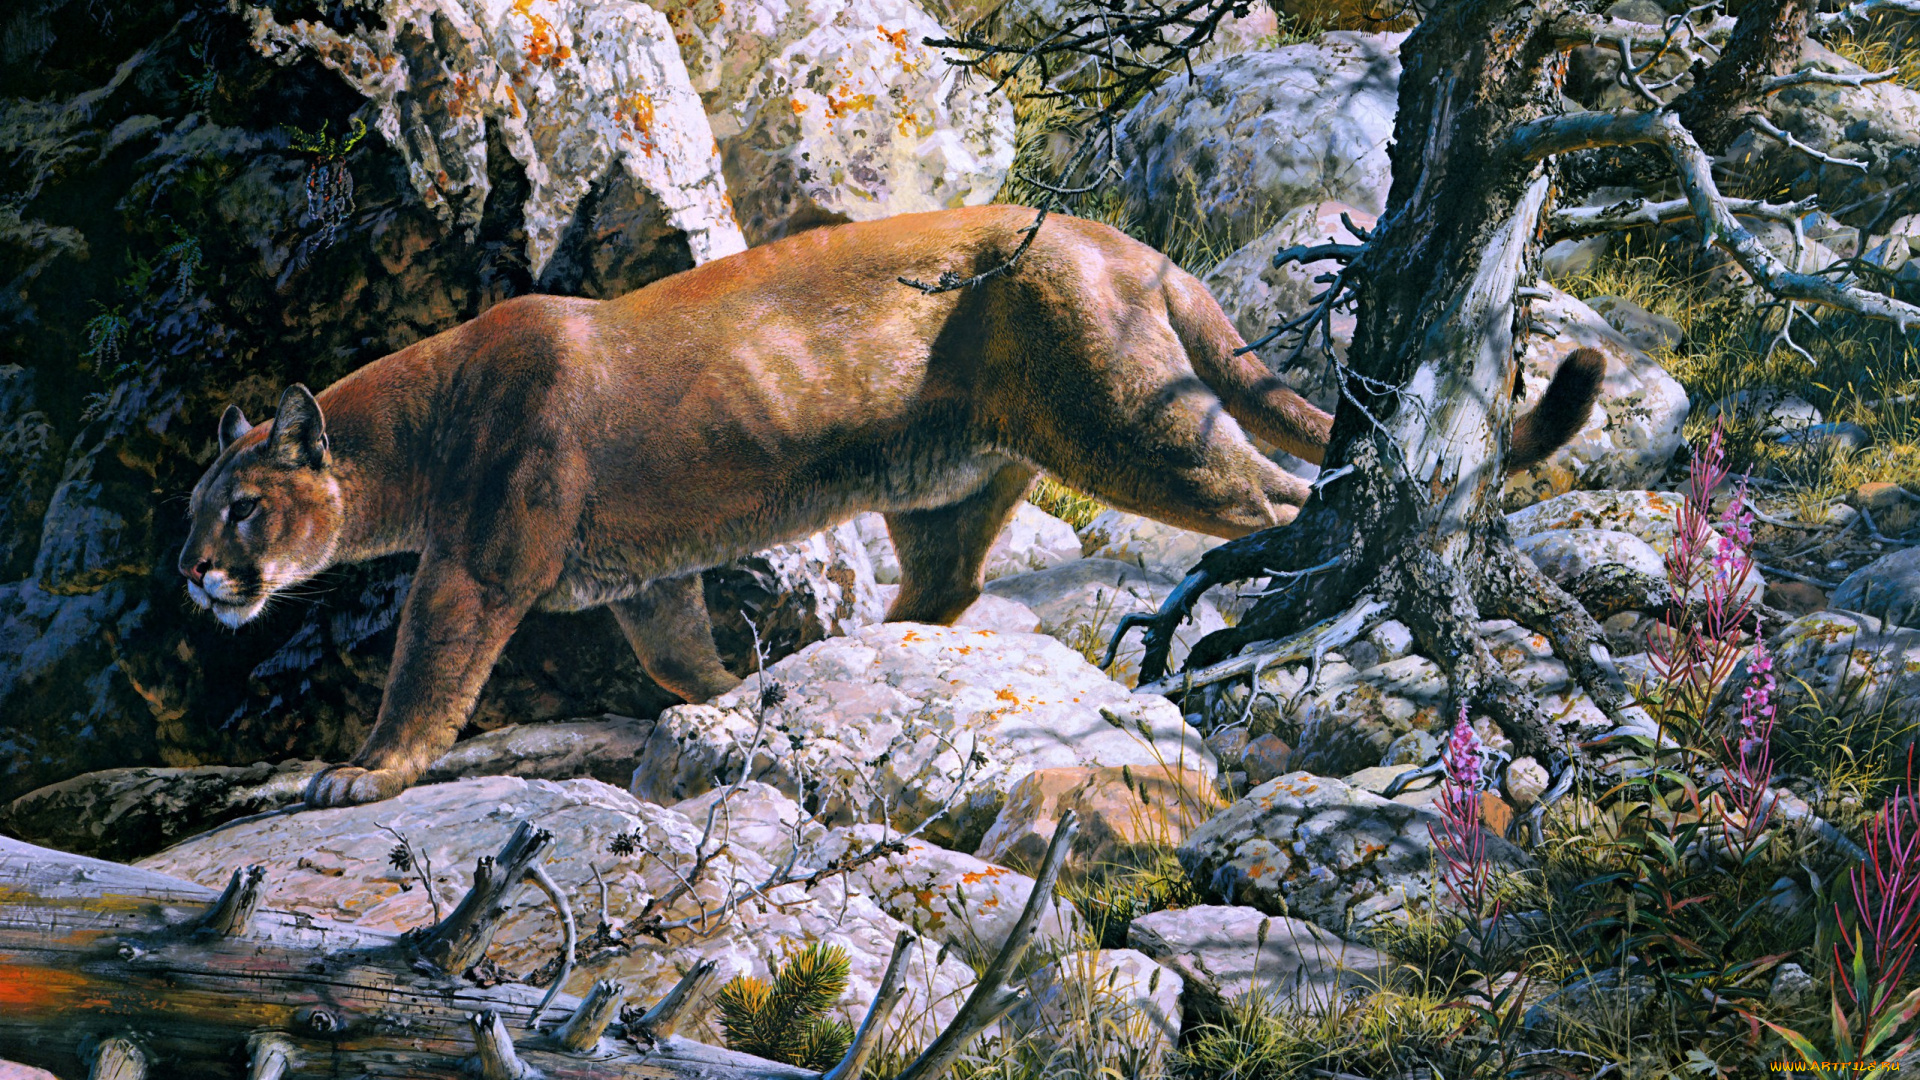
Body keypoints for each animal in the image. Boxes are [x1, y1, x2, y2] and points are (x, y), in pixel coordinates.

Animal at [179, 206, 1603, 807]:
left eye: (243, 509)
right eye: (192, 511)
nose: (193, 573)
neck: (413, 437)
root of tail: (1128, 244)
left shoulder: (477, 565)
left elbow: (428, 664)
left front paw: (365, 773)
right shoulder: (645, 576)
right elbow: (679, 656)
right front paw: (728, 706)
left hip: (1134, 430)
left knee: (1291, 486)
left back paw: (1306, 569)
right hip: (953, 484)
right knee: (949, 585)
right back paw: (870, 649)